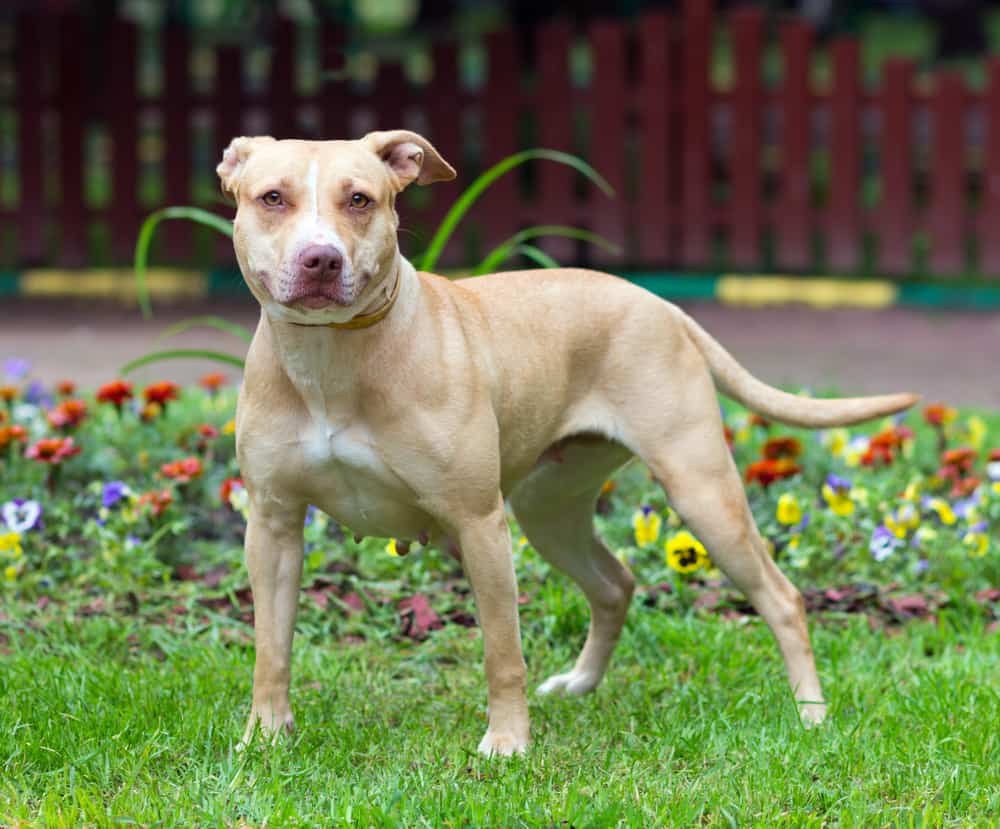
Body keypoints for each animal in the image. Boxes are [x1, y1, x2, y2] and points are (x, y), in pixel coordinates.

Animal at [219, 131, 920, 756]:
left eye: (360, 199)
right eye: (273, 197)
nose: (321, 258)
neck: (331, 360)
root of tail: (658, 302)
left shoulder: (479, 524)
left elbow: (502, 651)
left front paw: (508, 743)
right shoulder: (273, 527)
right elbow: (270, 649)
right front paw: (264, 738)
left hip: (701, 493)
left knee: (782, 598)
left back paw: (811, 714)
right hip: (549, 508)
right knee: (613, 584)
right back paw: (583, 684)